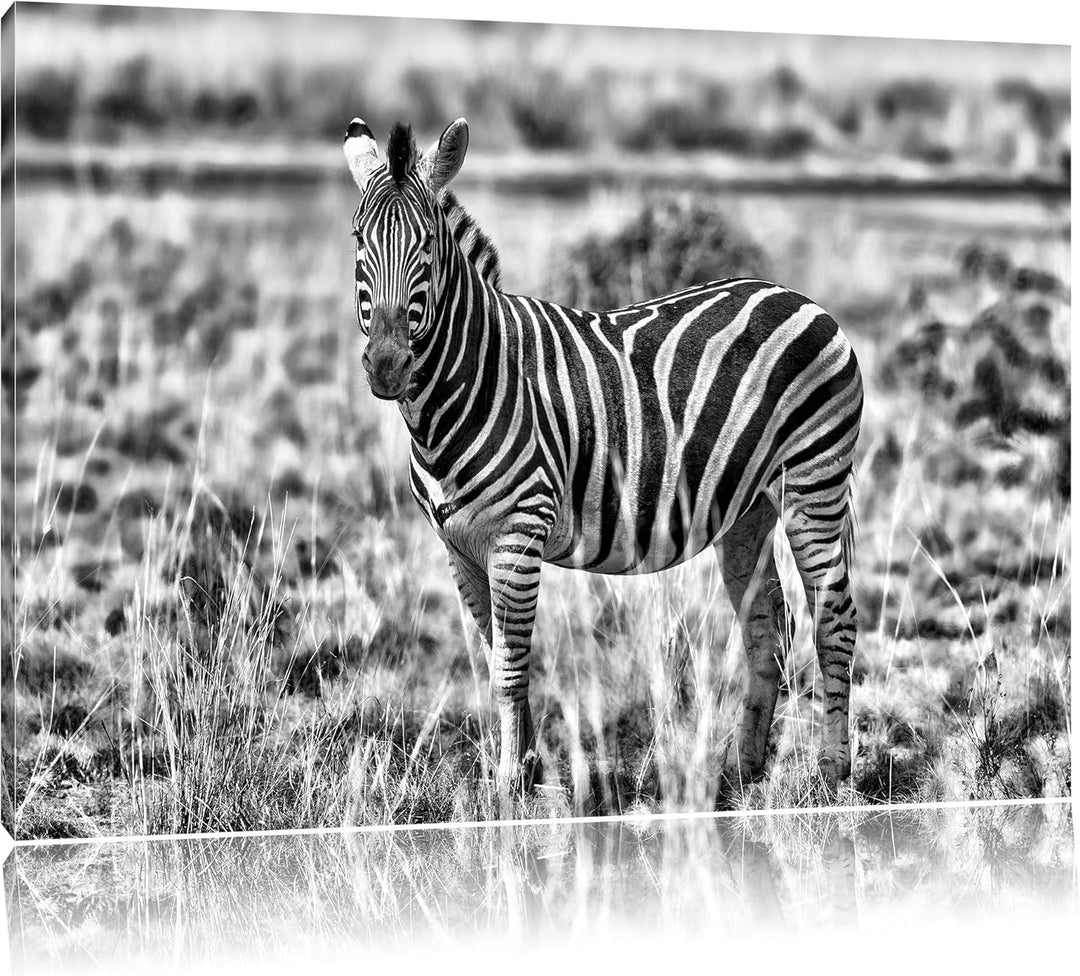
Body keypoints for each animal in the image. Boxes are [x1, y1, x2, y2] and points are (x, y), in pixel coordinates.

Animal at [343, 116, 864, 802]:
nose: (386, 365)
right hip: (748, 508)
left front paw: (509, 786)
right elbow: (494, 659)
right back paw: (741, 770)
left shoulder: (518, 533)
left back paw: (833, 775)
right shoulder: (459, 546)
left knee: (834, 619)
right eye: (358, 240)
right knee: (767, 627)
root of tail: (803, 298)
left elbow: (510, 667)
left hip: (814, 485)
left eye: (426, 245)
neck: (460, 391)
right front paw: (524, 770)